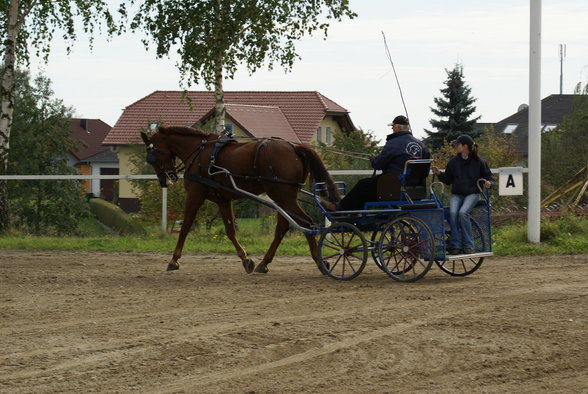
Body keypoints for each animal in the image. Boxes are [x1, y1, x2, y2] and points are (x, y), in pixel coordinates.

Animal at [141, 126, 340, 274]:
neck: (200, 153)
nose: (165, 180)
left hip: (282, 195)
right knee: (284, 227)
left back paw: (320, 262)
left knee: (305, 223)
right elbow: (230, 231)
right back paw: (264, 263)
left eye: (151, 157)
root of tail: (293, 148)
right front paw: (246, 260)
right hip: (284, 197)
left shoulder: (194, 196)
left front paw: (173, 260)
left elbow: (185, 228)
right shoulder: (223, 200)